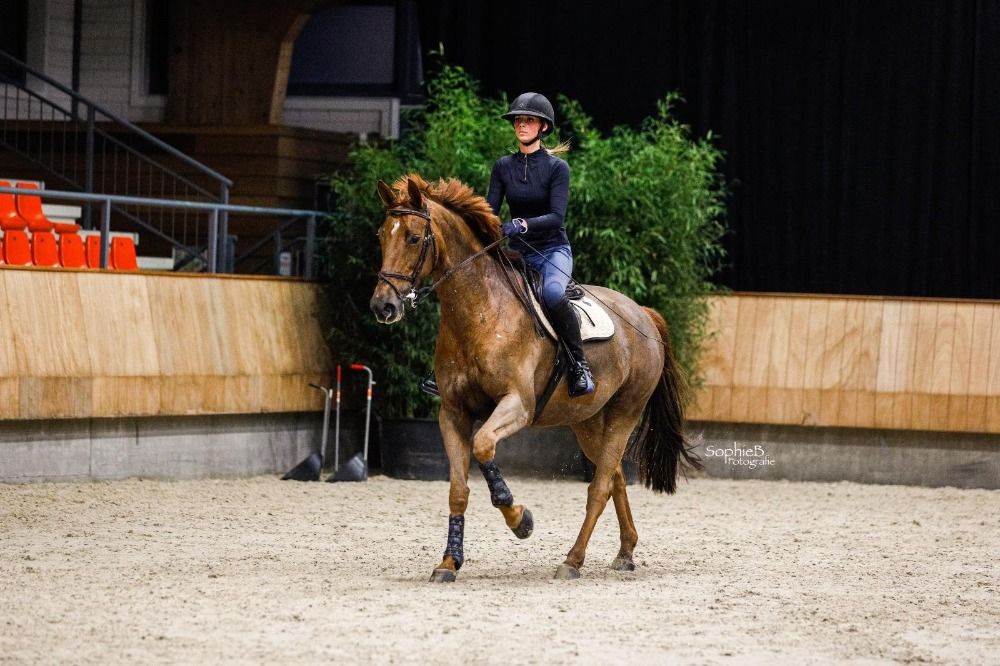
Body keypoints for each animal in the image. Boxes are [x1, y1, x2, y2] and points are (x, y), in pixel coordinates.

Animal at [369, 173, 701, 581]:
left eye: (414, 238)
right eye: (382, 235)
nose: (383, 306)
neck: (479, 311)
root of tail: (642, 313)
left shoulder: (518, 406)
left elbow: (483, 446)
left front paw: (520, 520)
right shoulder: (453, 413)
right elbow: (458, 489)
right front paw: (448, 562)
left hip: (625, 412)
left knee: (600, 485)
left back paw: (572, 560)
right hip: (586, 421)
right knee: (614, 477)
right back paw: (625, 552)